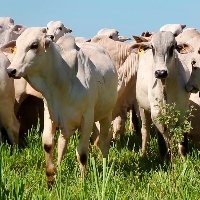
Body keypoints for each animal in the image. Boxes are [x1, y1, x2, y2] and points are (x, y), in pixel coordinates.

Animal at [7, 27, 118, 187]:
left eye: (34, 45)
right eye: (17, 44)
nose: (11, 70)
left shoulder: (87, 117)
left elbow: (82, 152)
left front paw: (82, 183)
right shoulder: (50, 113)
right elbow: (48, 144)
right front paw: (51, 177)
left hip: (105, 114)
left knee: (103, 141)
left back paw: (104, 169)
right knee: (62, 142)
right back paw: (59, 167)